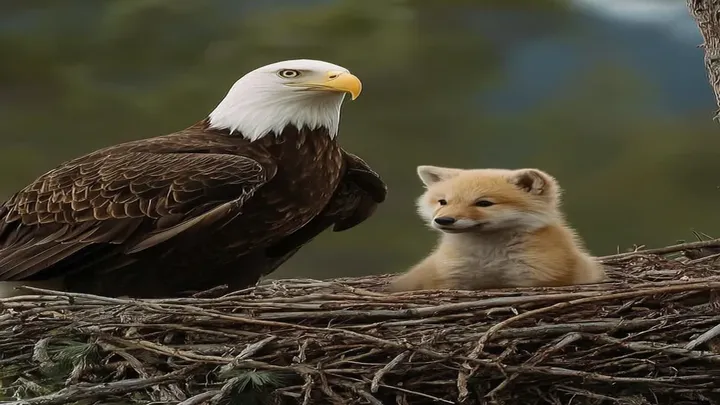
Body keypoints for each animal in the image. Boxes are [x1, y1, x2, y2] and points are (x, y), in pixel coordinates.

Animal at [389, 165, 606, 292]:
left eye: (484, 203)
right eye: (443, 202)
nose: (444, 220)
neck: (489, 259)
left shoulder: (531, 279)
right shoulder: (452, 280)